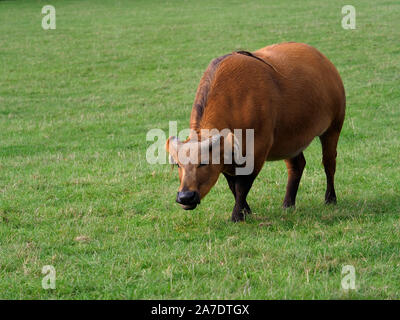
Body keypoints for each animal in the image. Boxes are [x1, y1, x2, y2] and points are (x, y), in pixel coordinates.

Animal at [166, 42, 344, 221]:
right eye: (178, 164)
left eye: (203, 162)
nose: (185, 197)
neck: (235, 102)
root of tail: (326, 63)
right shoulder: (227, 161)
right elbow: (233, 186)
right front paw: (246, 211)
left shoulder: (256, 154)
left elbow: (241, 186)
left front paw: (237, 215)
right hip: (290, 140)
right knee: (297, 166)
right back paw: (288, 203)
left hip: (333, 128)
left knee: (329, 163)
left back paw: (330, 198)